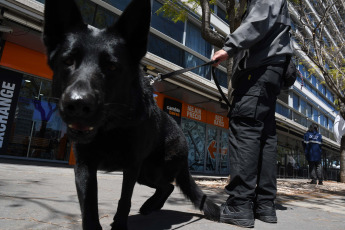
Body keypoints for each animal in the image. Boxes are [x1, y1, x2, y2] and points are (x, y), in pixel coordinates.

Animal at [43, 0, 219, 229]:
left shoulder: (131, 166)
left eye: (112, 66)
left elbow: (124, 200)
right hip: (145, 174)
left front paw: (119, 225)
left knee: (168, 186)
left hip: (149, 170)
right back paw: (151, 206)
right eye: (67, 61)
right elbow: (88, 205)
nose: (78, 104)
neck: (109, 129)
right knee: (167, 186)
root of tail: (182, 135)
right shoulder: (84, 166)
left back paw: (150, 206)